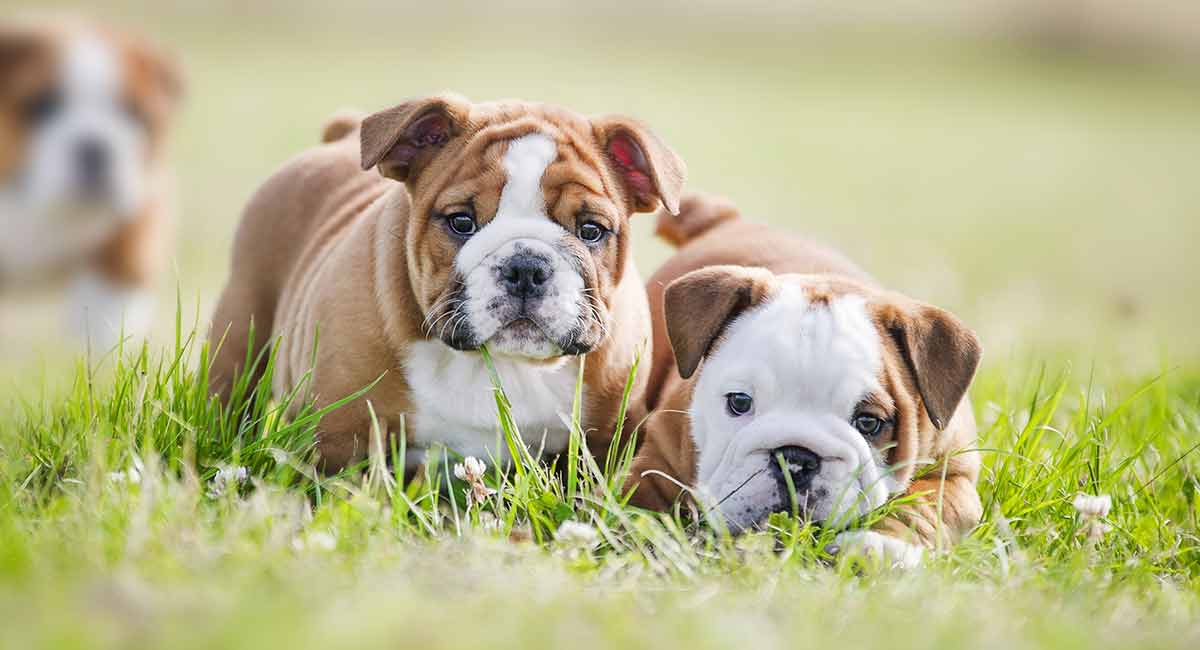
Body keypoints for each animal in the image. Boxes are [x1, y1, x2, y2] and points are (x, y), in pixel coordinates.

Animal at [208, 94, 686, 474]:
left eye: (591, 230)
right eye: (461, 222)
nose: (526, 267)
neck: (498, 363)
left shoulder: (606, 438)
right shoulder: (341, 433)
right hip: (241, 326)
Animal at [628, 196, 984, 568]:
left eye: (869, 422)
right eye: (739, 402)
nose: (795, 458)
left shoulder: (954, 476)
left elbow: (920, 509)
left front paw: (879, 545)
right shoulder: (658, 461)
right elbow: (641, 499)